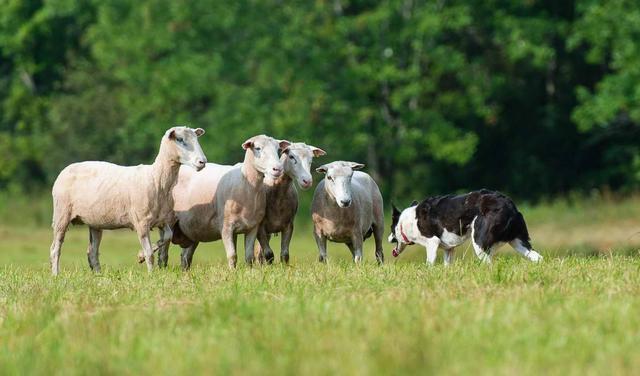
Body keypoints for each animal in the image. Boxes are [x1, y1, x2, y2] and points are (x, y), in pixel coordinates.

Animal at [49, 125, 208, 274]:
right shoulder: (141, 222)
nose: (202, 162)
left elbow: (167, 237)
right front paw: (151, 274)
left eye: (196, 138)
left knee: (92, 252)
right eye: (180, 140)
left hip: (94, 221)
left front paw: (140, 256)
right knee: (55, 249)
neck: (157, 179)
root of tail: (65, 170)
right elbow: (150, 253)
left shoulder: (162, 220)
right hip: (61, 214)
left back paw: (99, 276)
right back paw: (56, 274)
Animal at [158, 134, 290, 268]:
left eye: (278, 150)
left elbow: (249, 257)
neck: (246, 185)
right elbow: (232, 255)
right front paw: (232, 271)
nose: (277, 169)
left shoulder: (252, 227)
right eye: (257, 148)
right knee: (163, 254)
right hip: (168, 223)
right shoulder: (226, 227)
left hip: (192, 227)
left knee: (185, 257)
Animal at [388, 189, 544, 266]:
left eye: (391, 228)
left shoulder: (432, 242)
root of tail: (509, 205)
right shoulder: (449, 250)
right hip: (519, 242)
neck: (406, 222)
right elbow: (447, 266)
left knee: (489, 265)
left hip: (479, 243)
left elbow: (429, 264)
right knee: (538, 258)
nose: (388, 238)